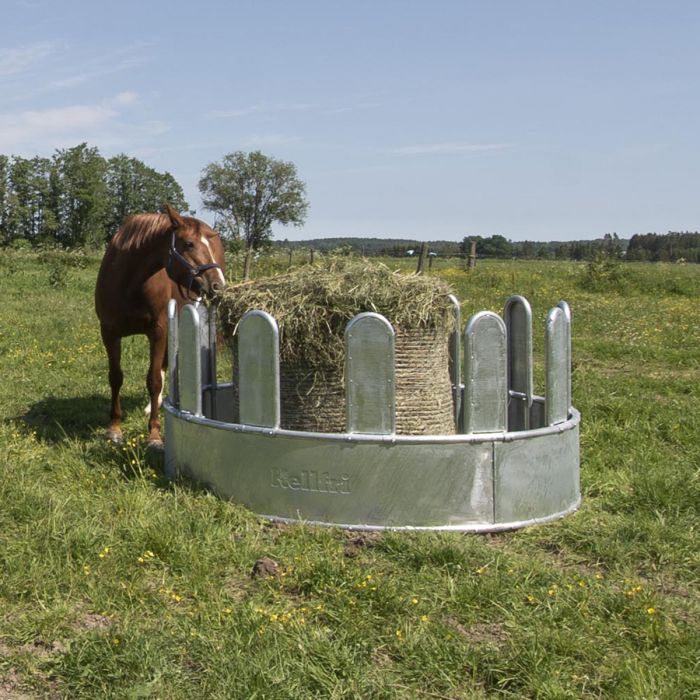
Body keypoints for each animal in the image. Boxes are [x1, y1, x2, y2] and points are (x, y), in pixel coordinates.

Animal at [95, 208, 224, 446]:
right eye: (189, 243)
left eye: (209, 245)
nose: (218, 284)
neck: (128, 281)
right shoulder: (109, 332)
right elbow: (115, 377)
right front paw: (114, 428)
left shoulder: (159, 331)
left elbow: (153, 380)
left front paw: (154, 435)